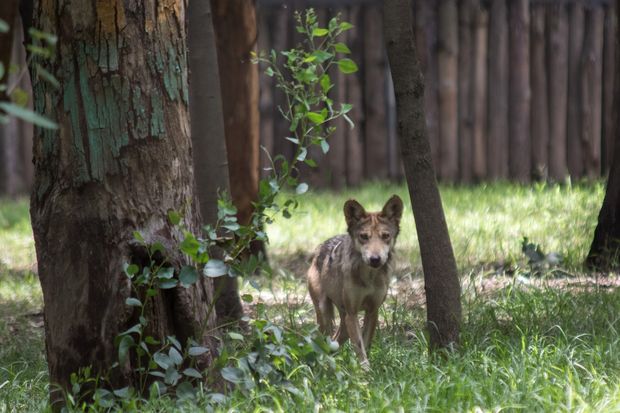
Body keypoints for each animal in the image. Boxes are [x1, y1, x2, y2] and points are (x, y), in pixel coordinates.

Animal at [308, 195, 404, 368]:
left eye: (385, 236)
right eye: (364, 236)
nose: (375, 259)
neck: (370, 277)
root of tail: (321, 246)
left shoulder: (372, 311)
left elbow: (365, 343)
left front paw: (363, 370)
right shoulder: (352, 314)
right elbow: (360, 347)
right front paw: (365, 371)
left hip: (344, 321)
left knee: (334, 342)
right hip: (326, 314)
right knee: (322, 340)